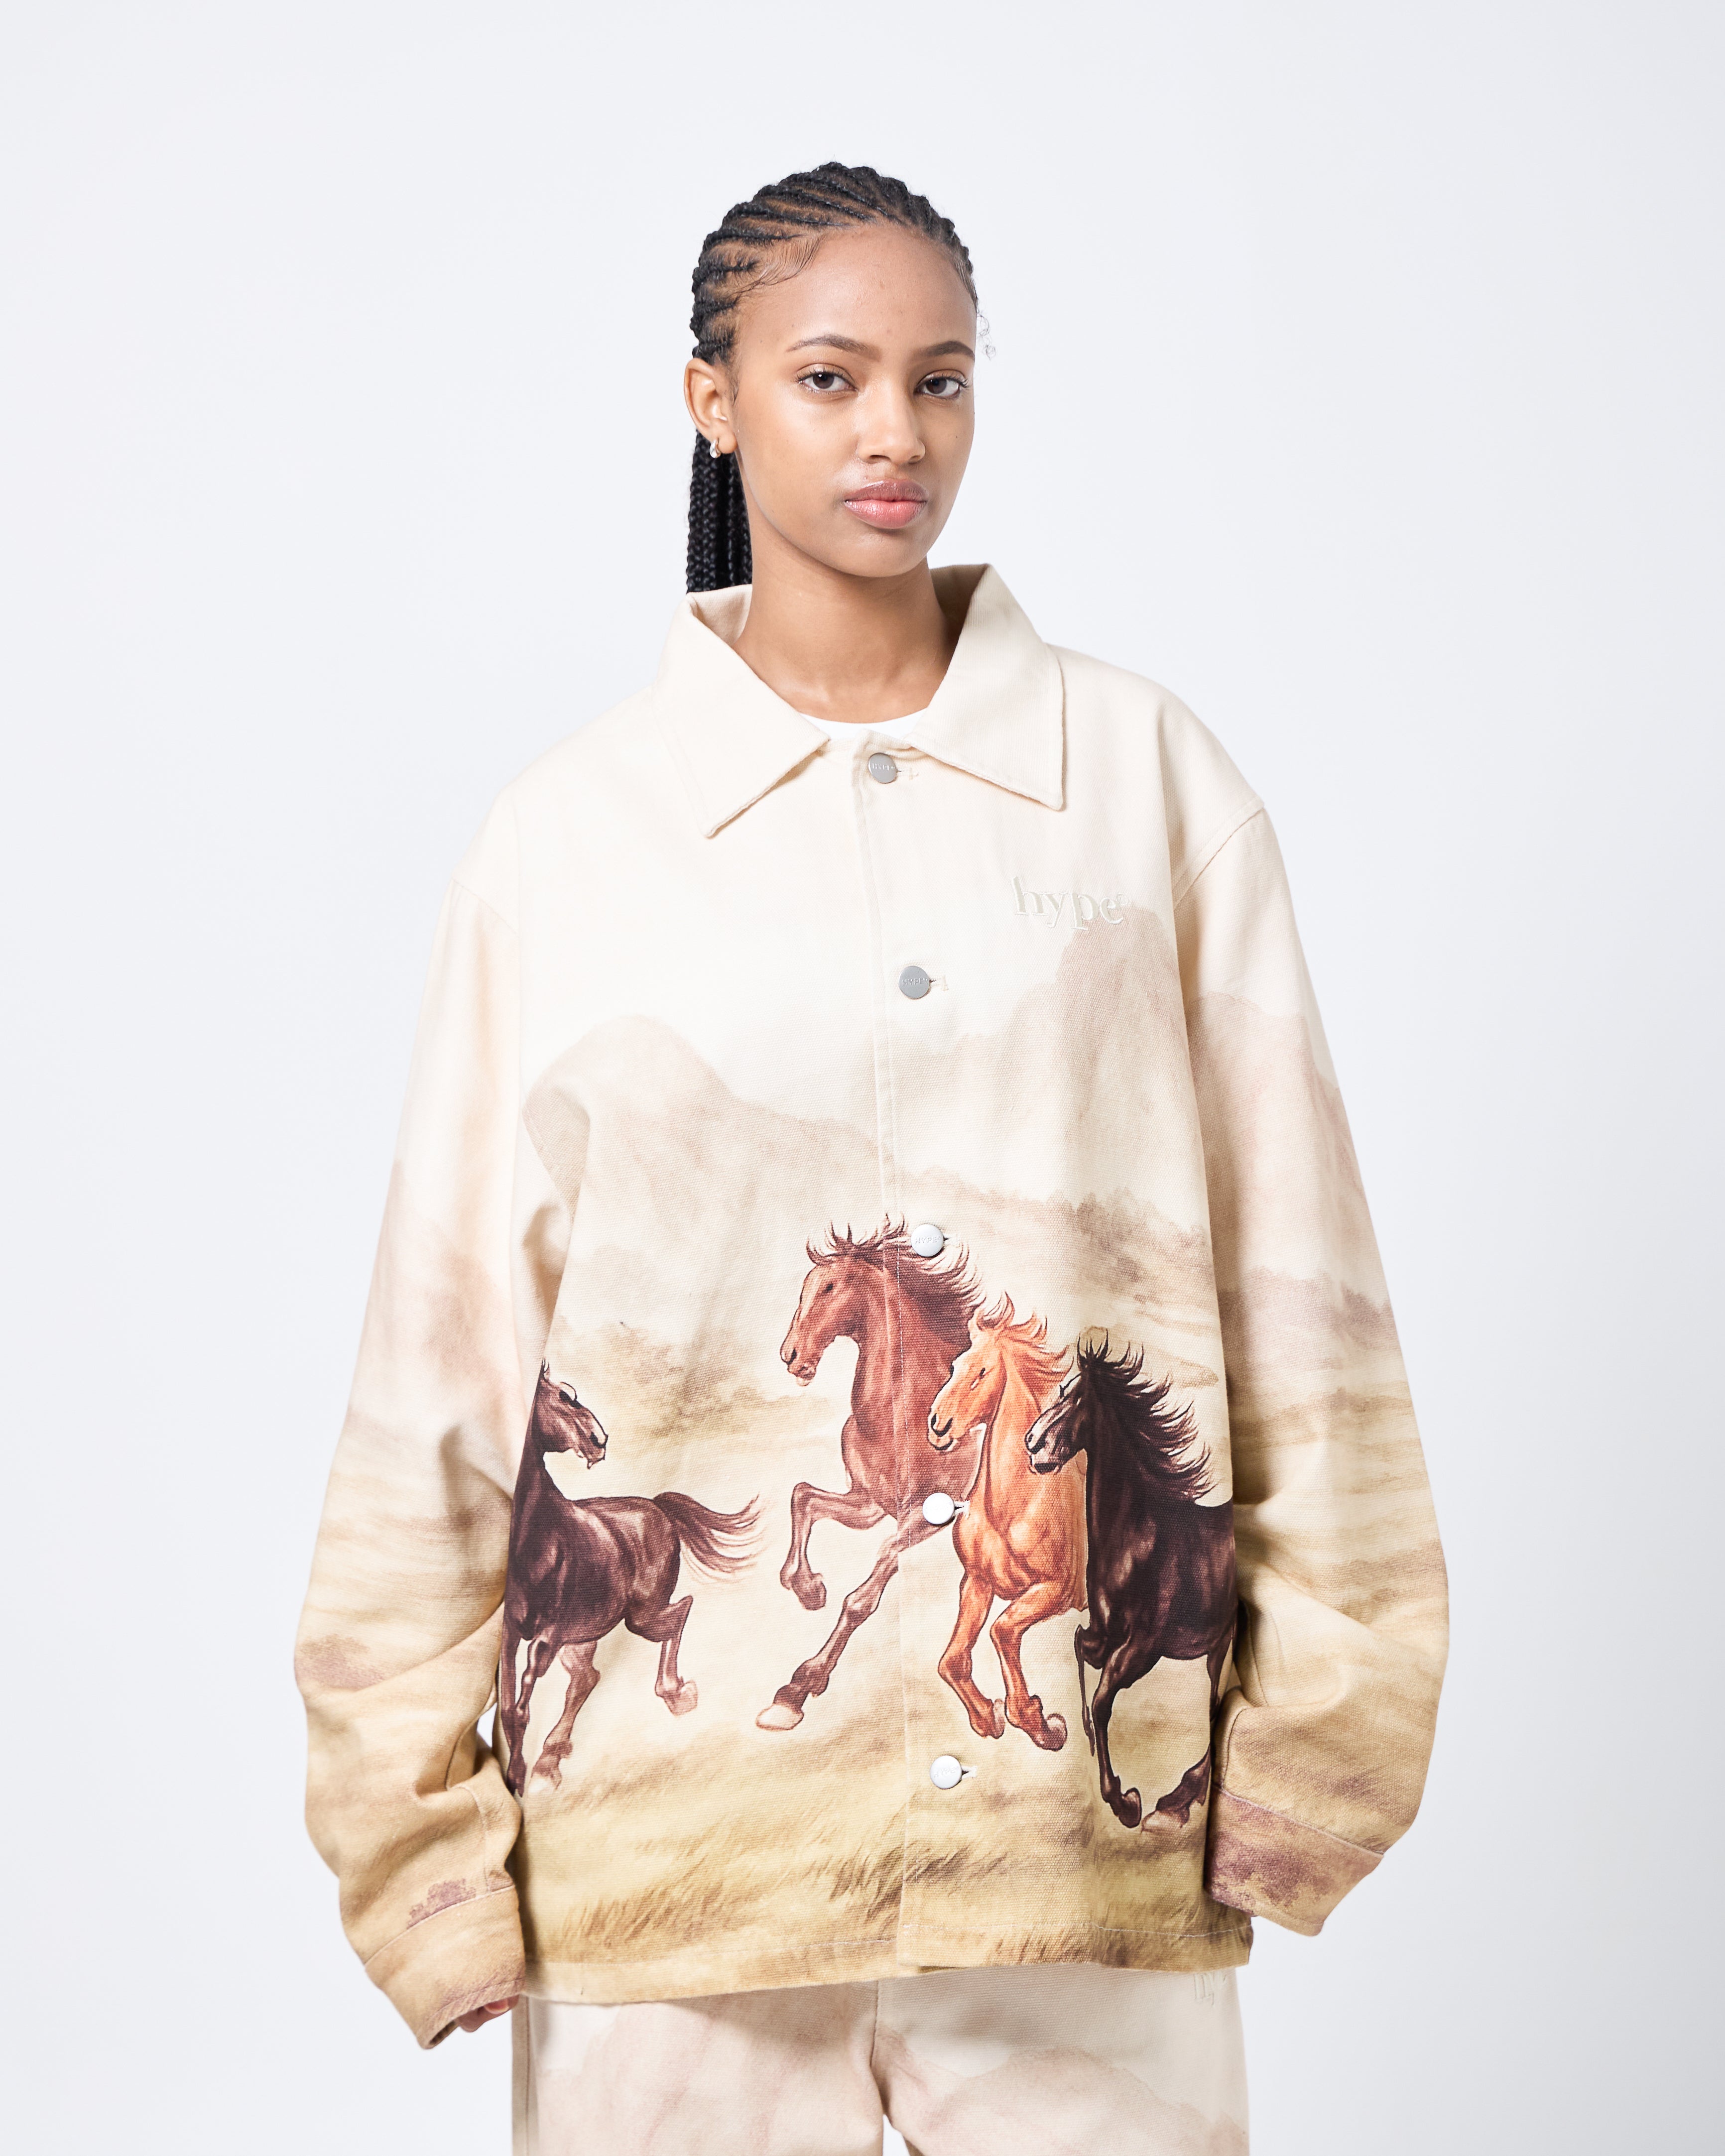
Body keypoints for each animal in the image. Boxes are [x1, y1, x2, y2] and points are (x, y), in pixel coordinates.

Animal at [499, 1362, 760, 1794]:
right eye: (565, 1397)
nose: (598, 1441)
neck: (540, 1538)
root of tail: (658, 1507)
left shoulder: (547, 1637)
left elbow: (521, 1707)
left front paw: (519, 1777)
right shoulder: (512, 1633)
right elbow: (508, 1708)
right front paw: (521, 1773)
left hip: (638, 1619)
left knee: (682, 1611)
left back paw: (677, 1694)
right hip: (585, 1636)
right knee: (588, 1678)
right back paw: (550, 1760)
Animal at [758, 1221, 984, 1731]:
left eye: (829, 1287)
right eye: (804, 1288)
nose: (791, 1355)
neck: (905, 1414)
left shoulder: (923, 1519)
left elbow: (861, 1599)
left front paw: (796, 1690)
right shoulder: (869, 1503)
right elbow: (803, 1497)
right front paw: (808, 1589)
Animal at [926, 1297, 1084, 1752]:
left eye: (982, 1372)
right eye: (956, 1366)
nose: (938, 1425)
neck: (1014, 1507)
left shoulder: (1057, 1590)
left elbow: (1002, 1632)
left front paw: (1040, 1723)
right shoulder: (978, 1583)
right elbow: (952, 1661)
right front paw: (988, 1717)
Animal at [1023, 1338, 1236, 1830]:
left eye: (1074, 1398)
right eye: (1060, 1390)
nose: (1032, 1443)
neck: (1137, 1539)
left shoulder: (1143, 1647)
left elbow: (1104, 1702)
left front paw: (1124, 1802)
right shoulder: (1105, 1634)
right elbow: (1078, 1646)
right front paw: (1079, 1732)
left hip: (1220, 1644)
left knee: (1215, 1706)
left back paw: (1176, 1801)